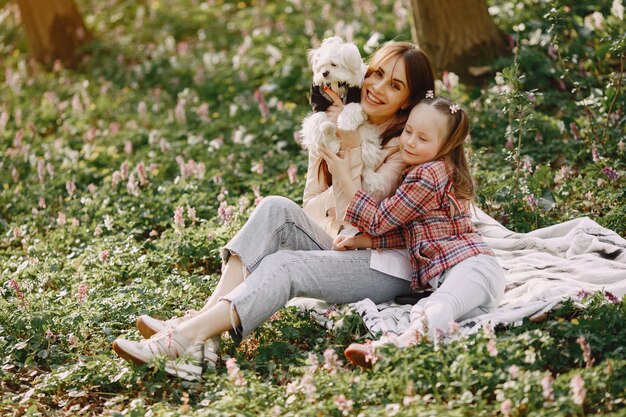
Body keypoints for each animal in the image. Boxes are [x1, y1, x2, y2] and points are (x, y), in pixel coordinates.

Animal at [298, 36, 382, 193]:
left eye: (334, 64)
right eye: (321, 66)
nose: (324, 73)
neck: (336, 84)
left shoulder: (356, 97)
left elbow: (350, 109)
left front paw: (345, 123)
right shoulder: (318, 100)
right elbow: (318, 116)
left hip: (366, 139)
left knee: (366, 161)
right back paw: (329, 133)